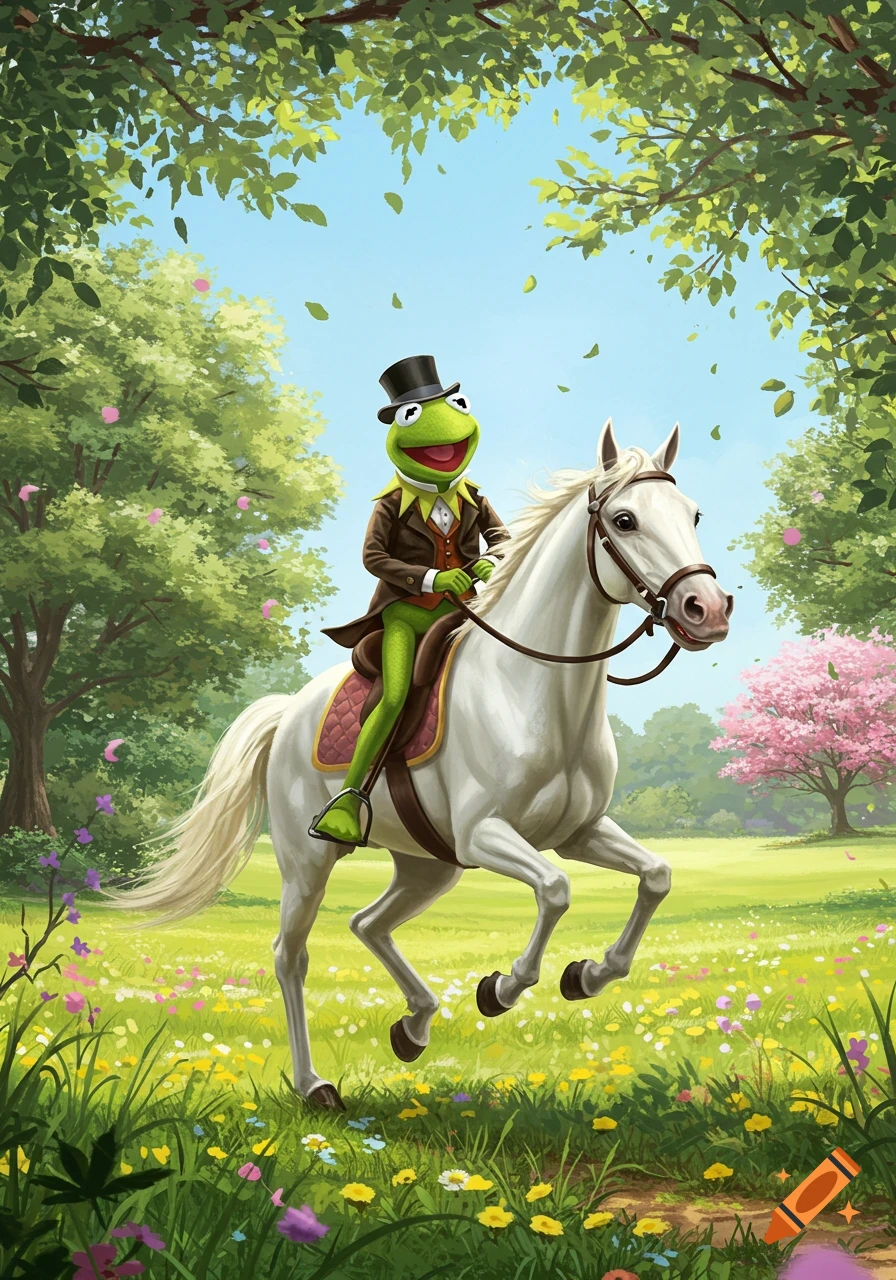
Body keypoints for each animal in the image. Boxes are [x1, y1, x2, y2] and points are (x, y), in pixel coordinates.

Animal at [104, 420, 733, 1111]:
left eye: (693, 514)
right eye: (624, 520)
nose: (707, 609)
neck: (535, 689)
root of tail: (290, 710)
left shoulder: (577, 831)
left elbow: (656, 877)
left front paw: (587, 975)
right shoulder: (486, 834)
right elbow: (555, 890)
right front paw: (501, 988)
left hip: (429, 866)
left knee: (367, 922)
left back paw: (414, 1023)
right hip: (311, 862)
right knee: (290, 956)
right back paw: (315, 1085)